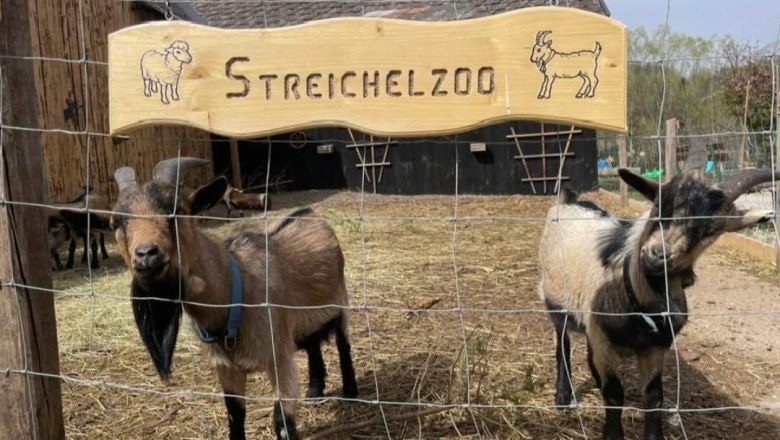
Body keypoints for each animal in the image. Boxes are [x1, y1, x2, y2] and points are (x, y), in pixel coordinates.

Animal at [60, 157, 358, 440]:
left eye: (178, 211)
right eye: (116, 223)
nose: (146, 254)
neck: (236, 294)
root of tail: (310, 213)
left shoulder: (279, 359)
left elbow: (283, 423)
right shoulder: (226, 369)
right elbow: (234, 418)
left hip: (341, 301)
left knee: (343, 343)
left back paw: (351, 391)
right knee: (312, 344)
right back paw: (314, 390)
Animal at [538, 168, 779, 440]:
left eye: (710, 229)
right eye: (659, 205)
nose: (657, 255)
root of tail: (568, 201)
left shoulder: (654, 347)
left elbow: (654, 397)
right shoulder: (603, 341)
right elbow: (613, 392)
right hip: (554, 299)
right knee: (562, 342)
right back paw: (563, 397)